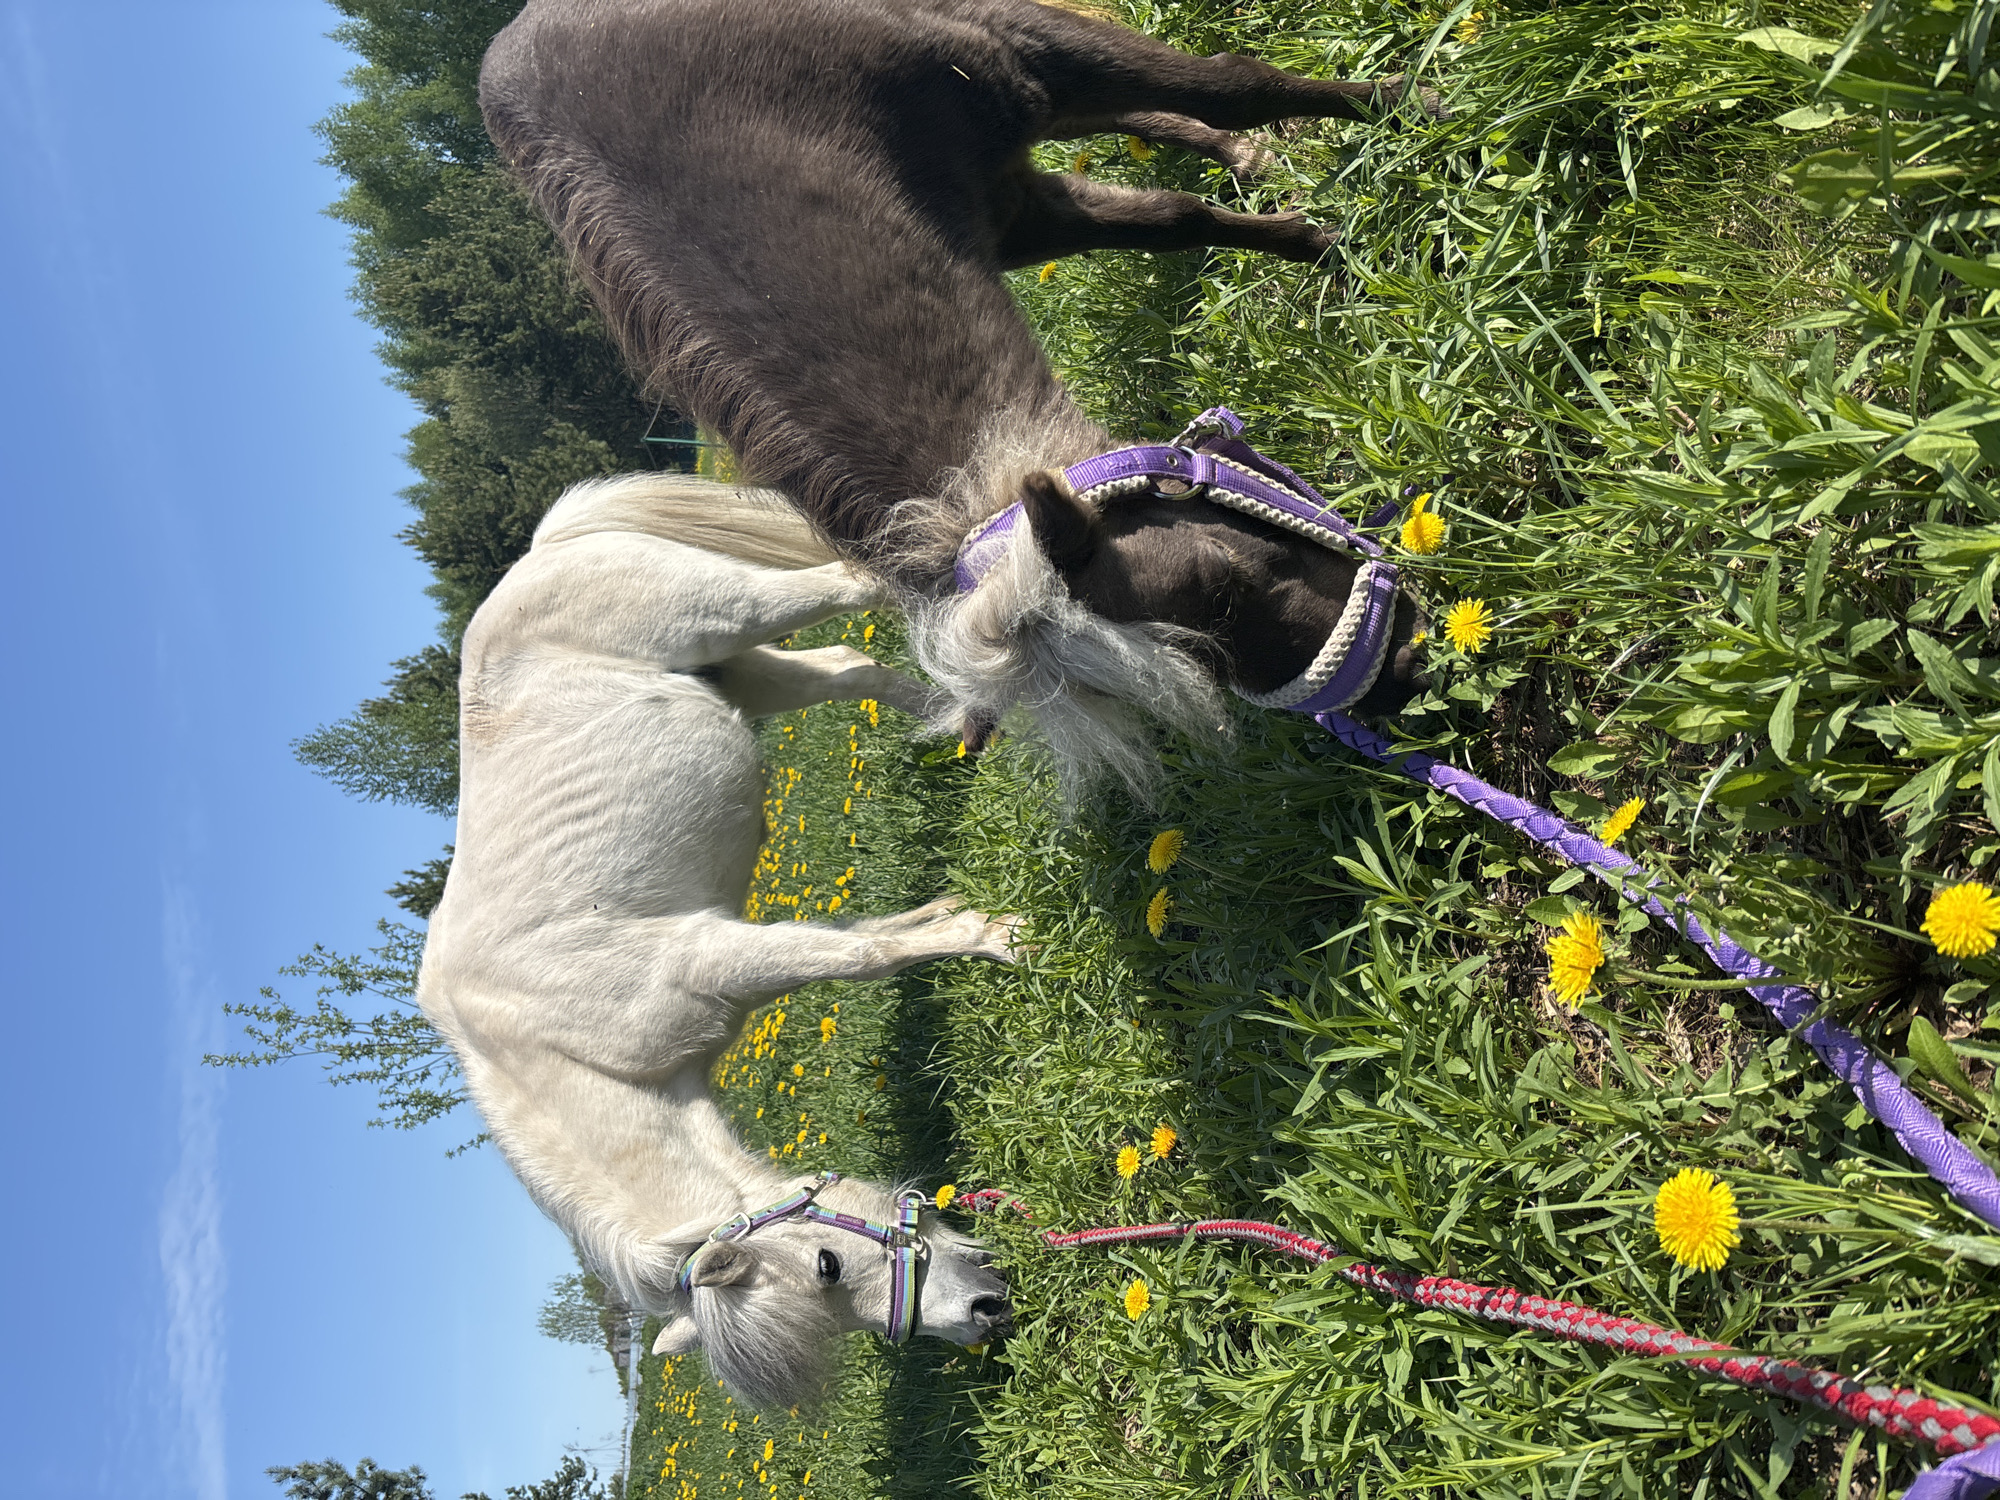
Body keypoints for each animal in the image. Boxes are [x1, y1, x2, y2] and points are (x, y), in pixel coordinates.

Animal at [419, 471, 1018, 1408]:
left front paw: (998, 938)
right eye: (828, 1287)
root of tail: (542, 550)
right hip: (748, 675)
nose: (986, 1313)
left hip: (734, 613)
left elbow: (858, 956)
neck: (552, 1044)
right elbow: (864, 937)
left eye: (825, 1263)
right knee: (849, 669)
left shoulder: (710, 957)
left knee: (858, 579)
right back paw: (966, 716)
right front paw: (952, 918)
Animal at [479, 0, 1433, 791]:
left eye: (1224, 583)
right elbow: (1174, 215)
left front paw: (1409, 118)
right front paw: (1325, 241)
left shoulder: (1032, 55)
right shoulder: (1025, 214)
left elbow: (1237, 85)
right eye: (1214, 634)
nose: (1403, 678)